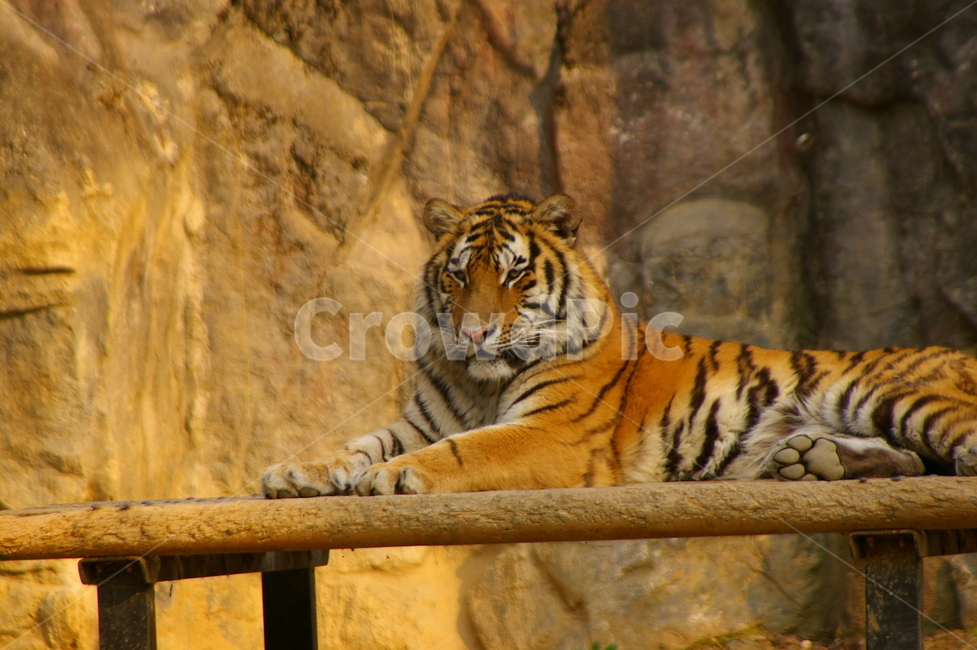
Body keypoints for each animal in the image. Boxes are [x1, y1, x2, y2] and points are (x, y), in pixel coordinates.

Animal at [261, 193, 977, 497]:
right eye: (459, 275)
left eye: (514, 275)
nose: (474, 333)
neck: (481, 381)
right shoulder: (420, 422)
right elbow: (360, 443)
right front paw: (298, 471)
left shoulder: (551, 431)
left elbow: (466, 450)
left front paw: (390, 476)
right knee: (913, 462)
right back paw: (812, 461)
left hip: (891, 393)